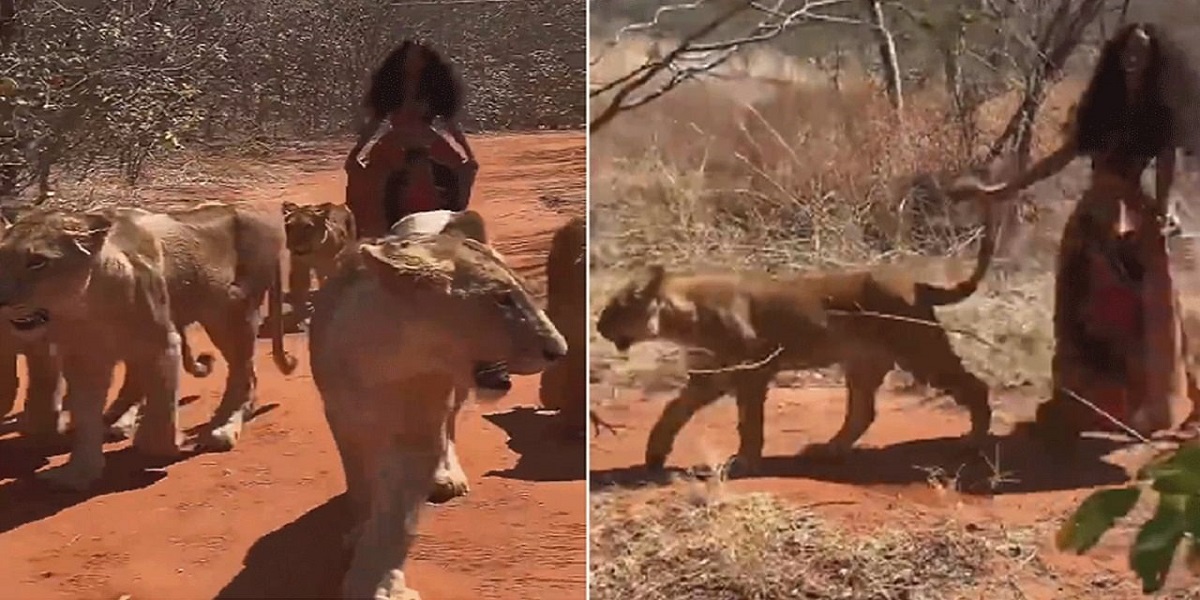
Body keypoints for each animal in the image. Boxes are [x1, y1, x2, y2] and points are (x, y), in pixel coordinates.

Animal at [309, 229, 566, 600]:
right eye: (502, 299)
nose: (560, 350)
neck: (393, 363)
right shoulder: (345, 424)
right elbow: (362, 487)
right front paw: (360, 535)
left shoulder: (419, 434)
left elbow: (395, 519)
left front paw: (379, 584)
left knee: (451, 429)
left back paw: (447, 477)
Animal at [596, 205, 999, 474]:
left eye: (616, 308)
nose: (598, 327)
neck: (684, 318)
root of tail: (918, 285)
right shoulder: (709, 377)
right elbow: (672, 410)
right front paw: (654, 455)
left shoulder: (752, 370)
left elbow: (749, 421)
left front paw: (745, 461)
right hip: (863, 362)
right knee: (862, 412)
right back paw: (827, 450)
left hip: (920, 351)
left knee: (975, 387)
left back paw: (973, 442)